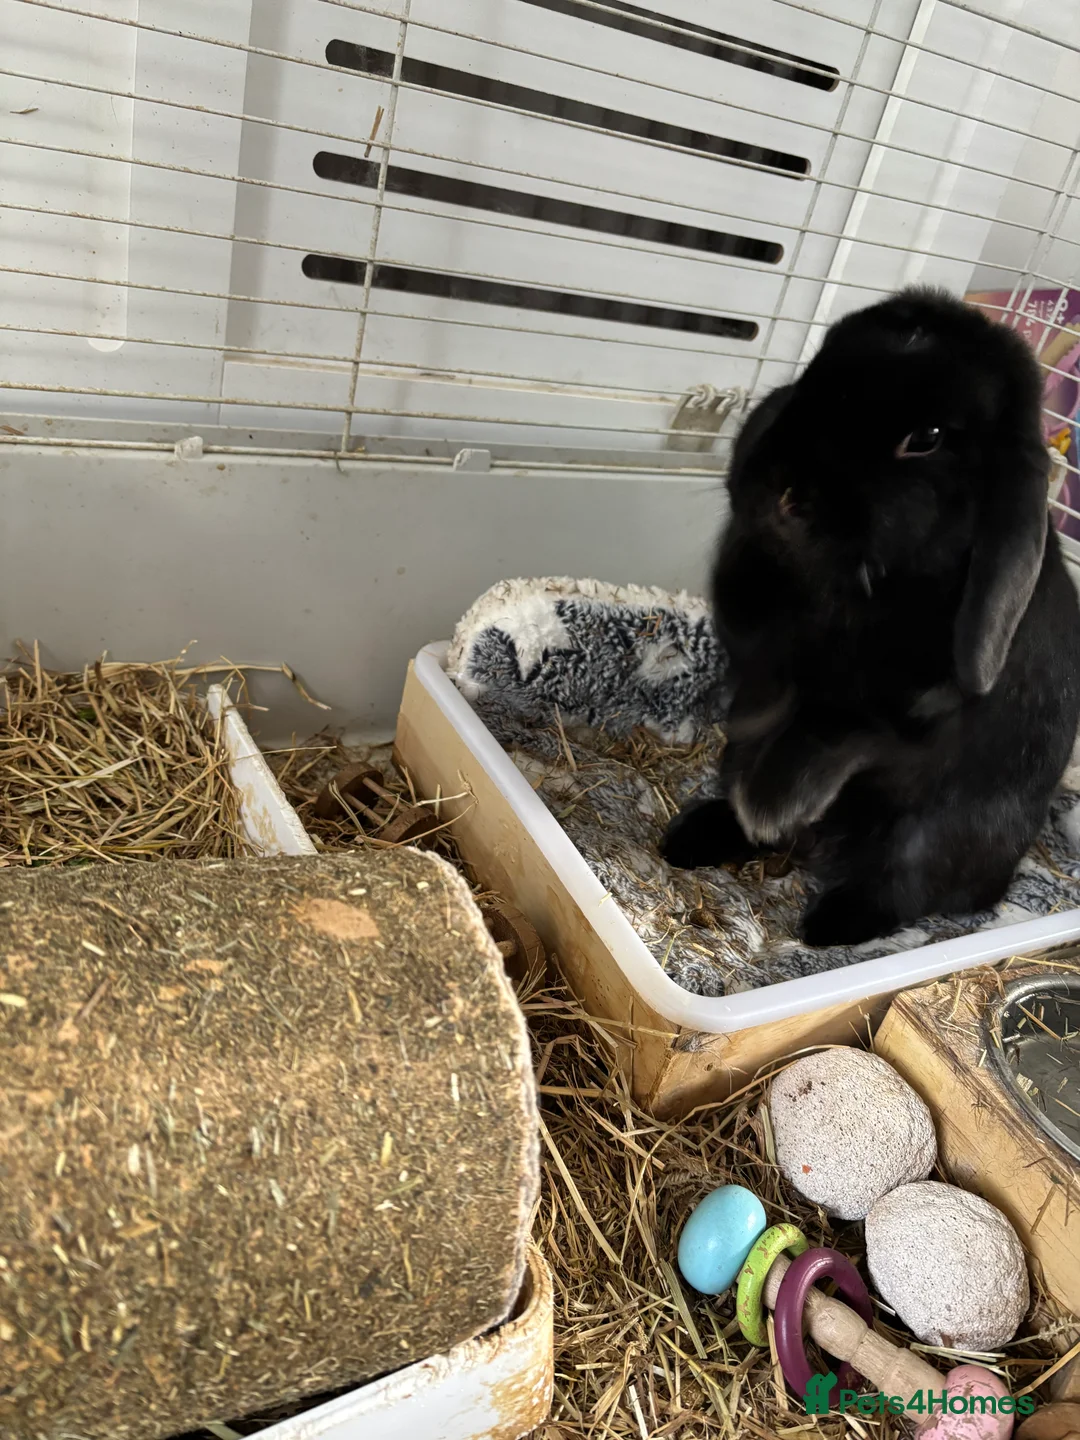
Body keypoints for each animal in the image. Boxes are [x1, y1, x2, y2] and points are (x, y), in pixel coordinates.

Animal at [661, 287, 1080, 948]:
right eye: (816, 370)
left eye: (927, 437)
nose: (784, 490)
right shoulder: (757, 638)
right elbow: (765, 685)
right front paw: (748, 733)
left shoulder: (901, 706)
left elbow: (832, 729)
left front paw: (771, 800)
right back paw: (694, 837)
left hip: (929, 837)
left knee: (907, 890)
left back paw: (828, 921)